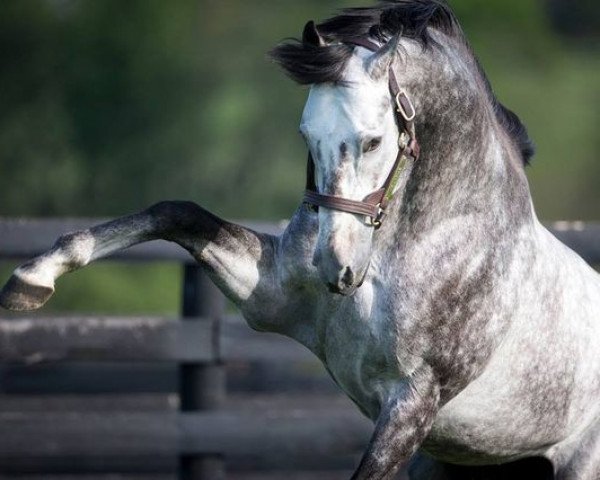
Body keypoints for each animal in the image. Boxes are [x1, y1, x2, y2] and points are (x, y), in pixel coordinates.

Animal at [1, 0, 600, 480]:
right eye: (306, 136)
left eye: (374, 140)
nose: (336, 268)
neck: (412, 245)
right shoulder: (270, 300)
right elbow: (178, 213)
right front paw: (34, 278)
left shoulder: (413, 402)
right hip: (446, 464)